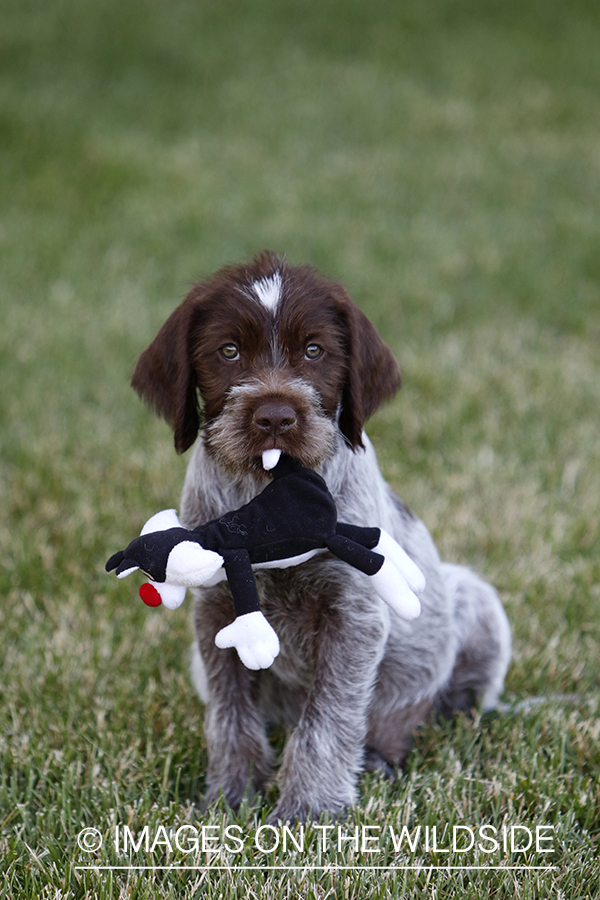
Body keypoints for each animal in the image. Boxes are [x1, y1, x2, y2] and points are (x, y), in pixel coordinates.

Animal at [131, 248, 510, 824]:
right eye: (229, 351)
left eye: (314, 351)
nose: (274, 417)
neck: (267, 495)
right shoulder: (216, 614)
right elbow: (229, 715)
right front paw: (229, 796)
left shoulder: (352, 616)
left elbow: (327, 722)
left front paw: (308, 811)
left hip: (473, 602)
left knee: (438, 708)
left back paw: (387, 753)